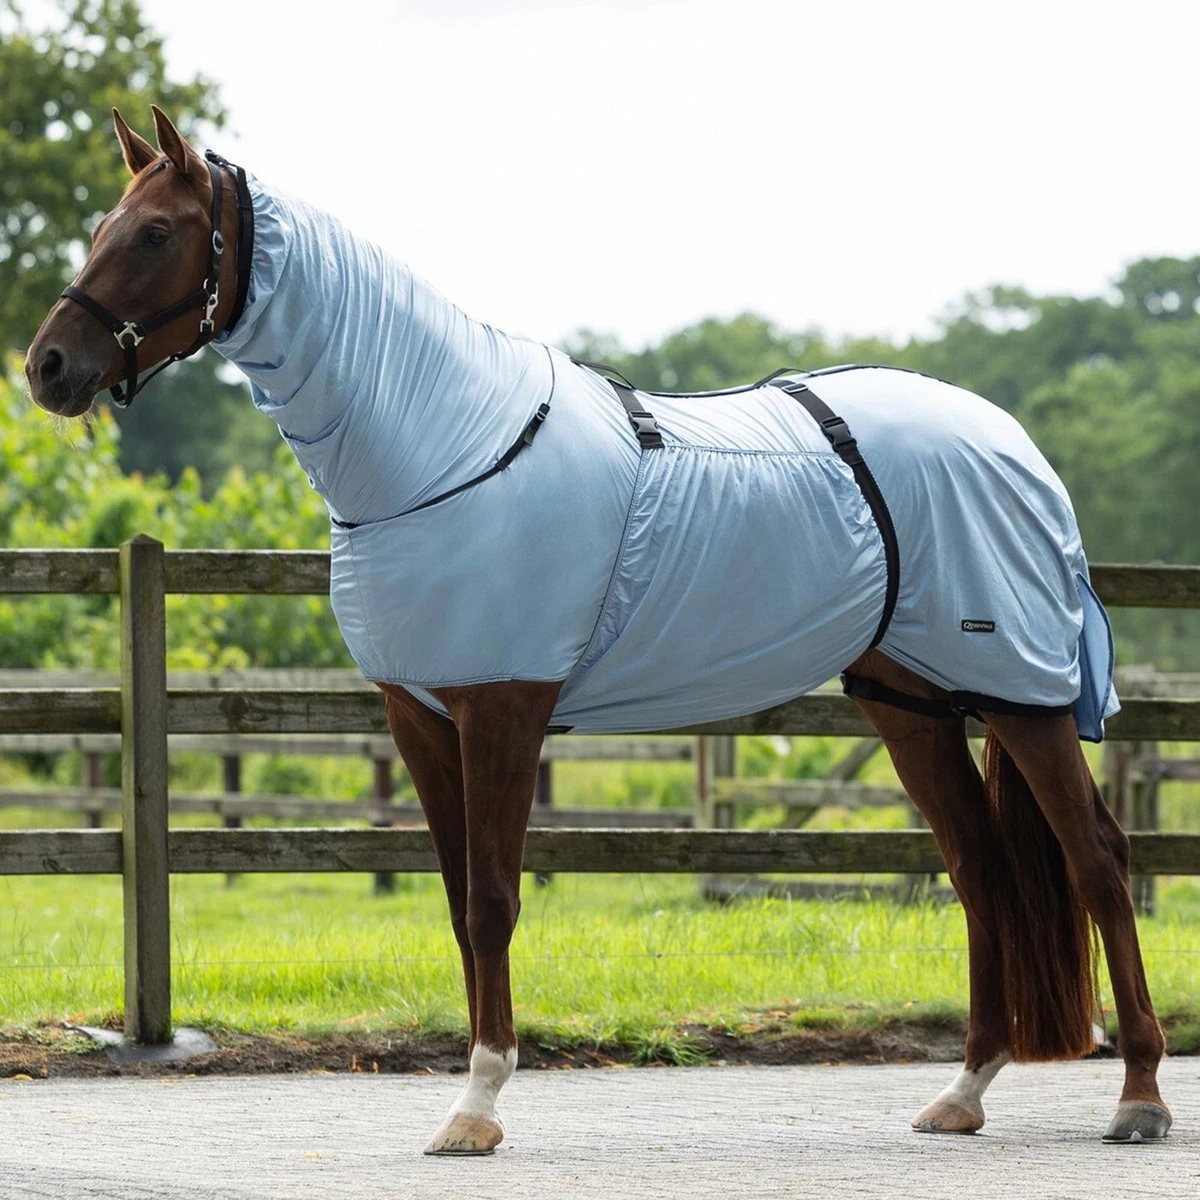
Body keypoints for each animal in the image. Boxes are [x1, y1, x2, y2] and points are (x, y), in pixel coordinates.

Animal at [24, 106, 1170, 1155]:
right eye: (102, 226)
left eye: (155, 233)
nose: (48, 368)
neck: (445, 444)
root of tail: (1011, 441)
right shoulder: (418, 717)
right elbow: (457, 905)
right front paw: (473, 1094)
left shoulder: (504, 706)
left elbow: (493, 901)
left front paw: (477, 1106)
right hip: (912, 702)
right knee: (983, 873)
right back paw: (963, 1092)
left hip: (1021, 694)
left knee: (1099, 861)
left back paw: (1140, 1096)